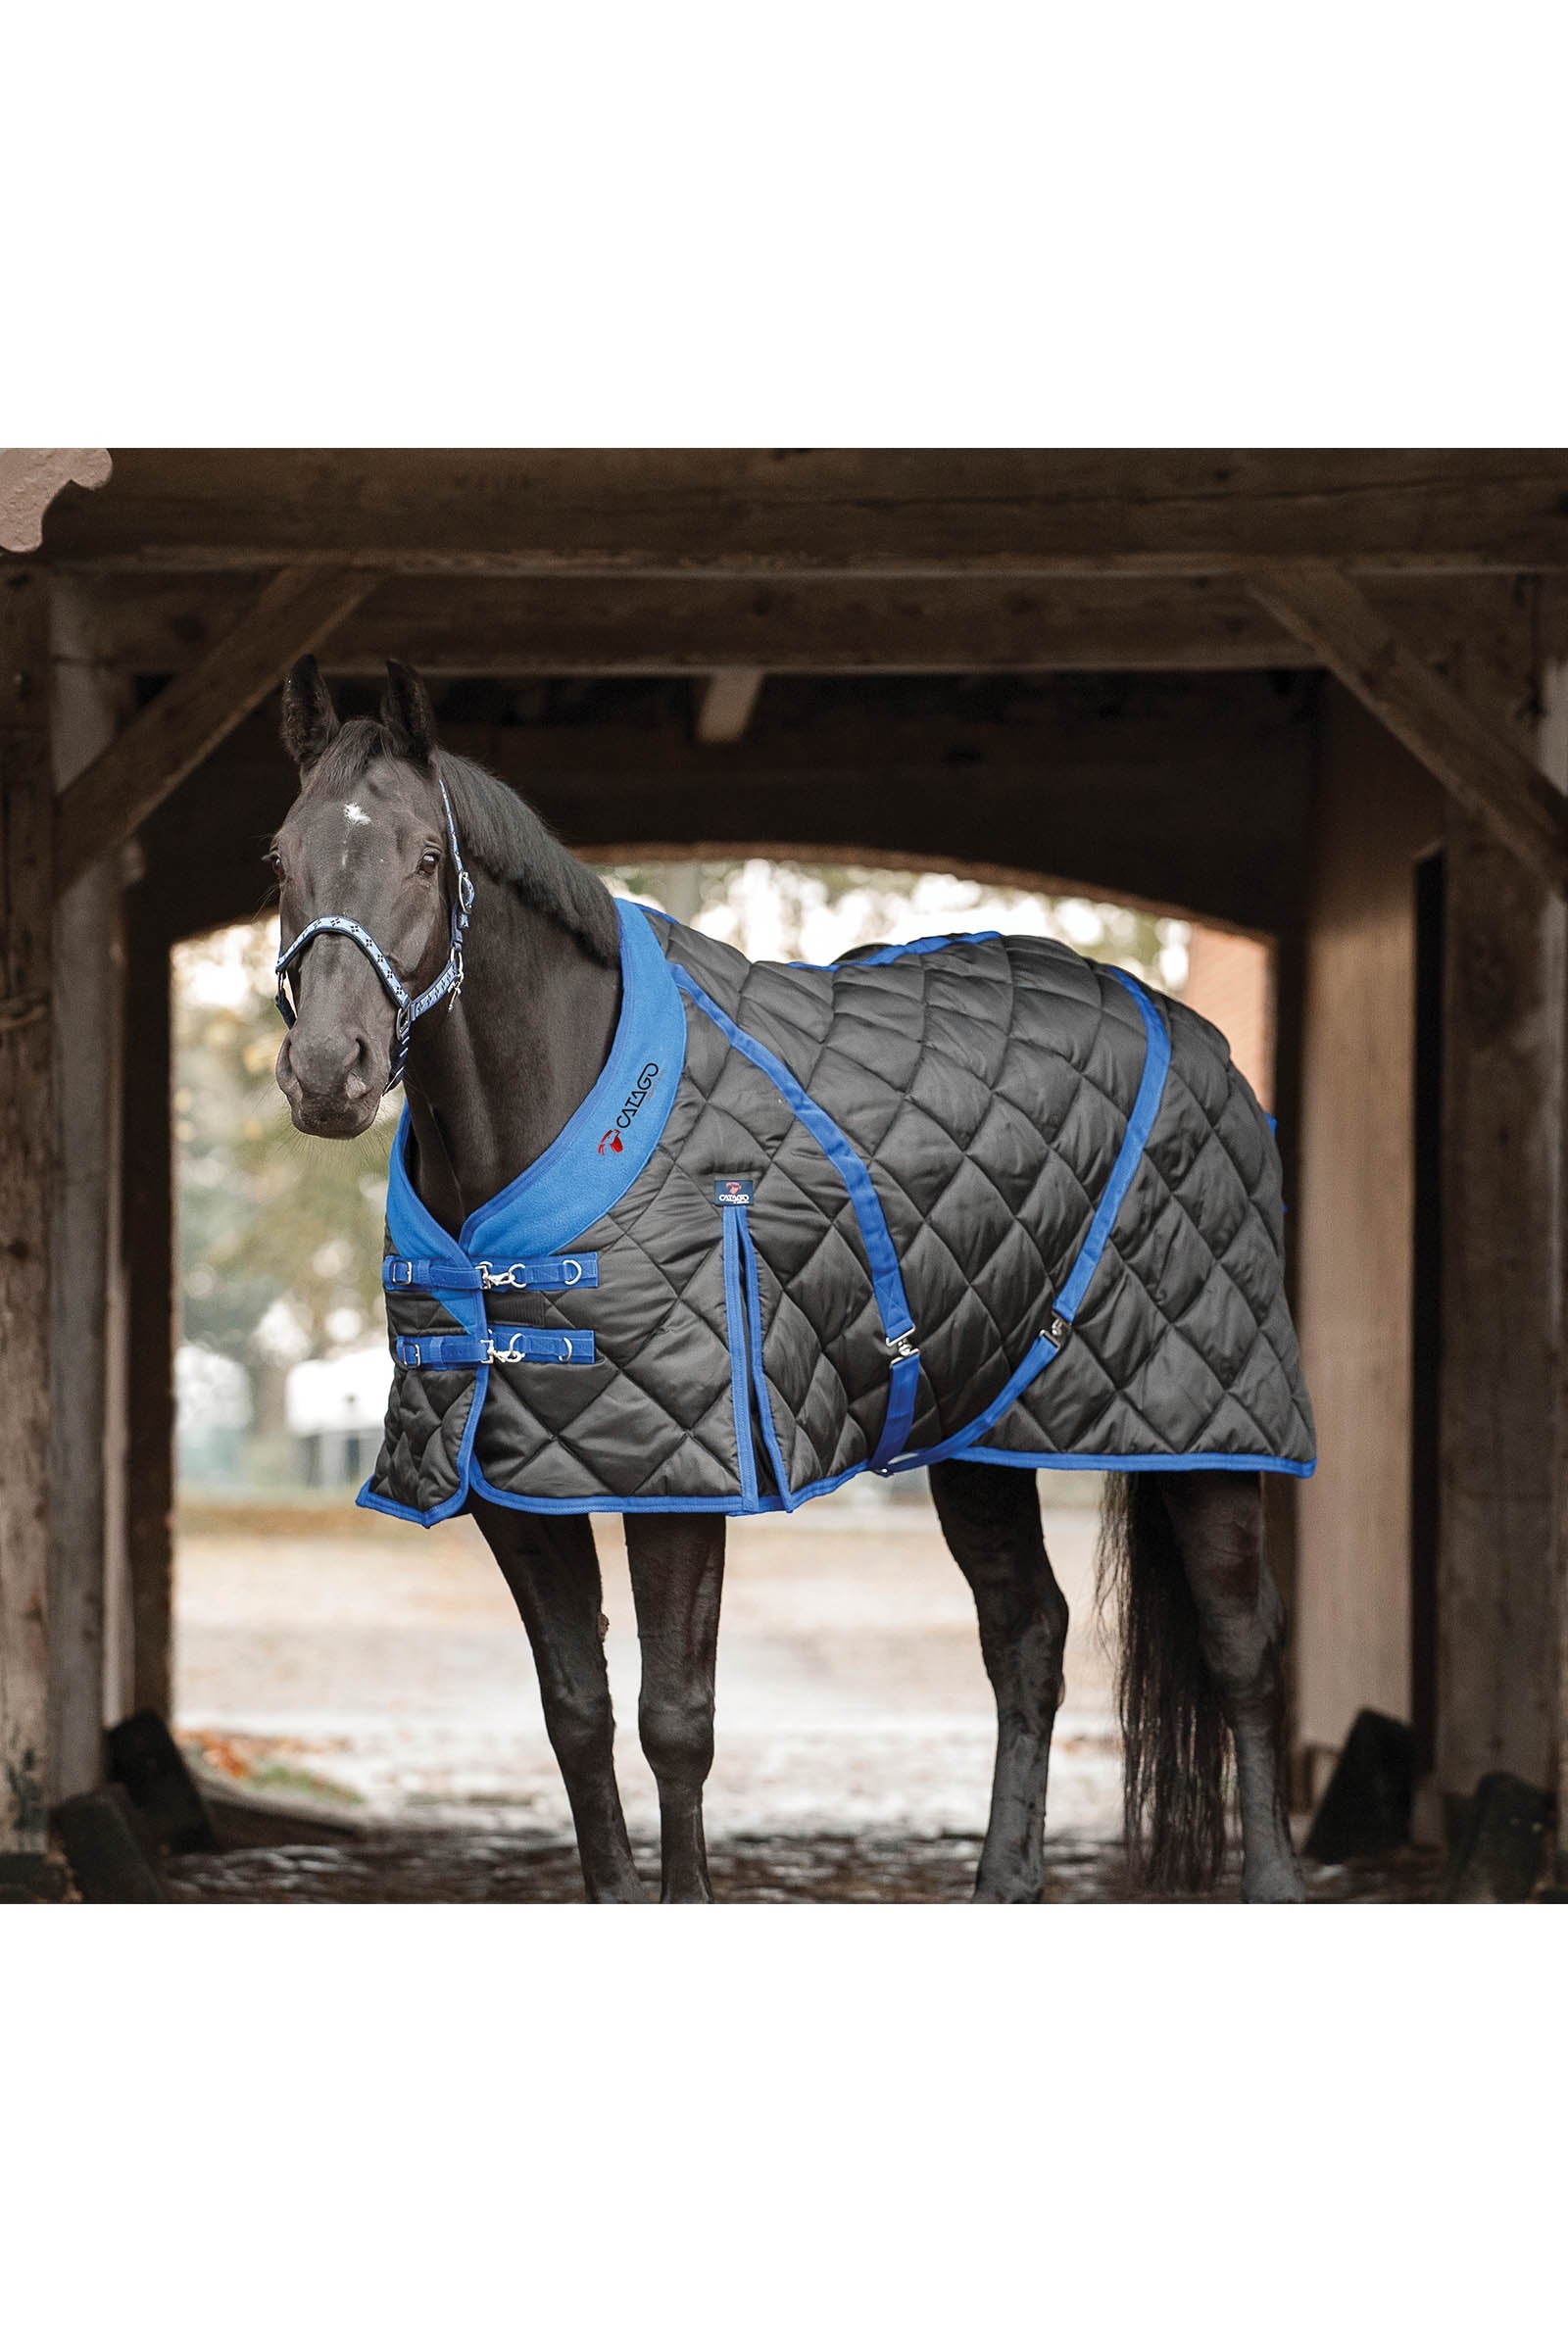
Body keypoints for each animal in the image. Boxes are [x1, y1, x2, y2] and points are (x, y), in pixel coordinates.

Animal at [268, 656, 1307, 1903]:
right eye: (280, 857)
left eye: (426, 855)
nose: (328, 1073)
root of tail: (1196, 1036)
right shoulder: (508, 1481)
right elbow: (576, 1714)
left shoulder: (683, 1472)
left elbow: (675, 1719)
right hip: (980, 1434)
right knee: (1028, 1635)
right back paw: (1002, 1882)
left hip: (1203, 1434)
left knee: (1240, 1645)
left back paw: (1274, 1883)